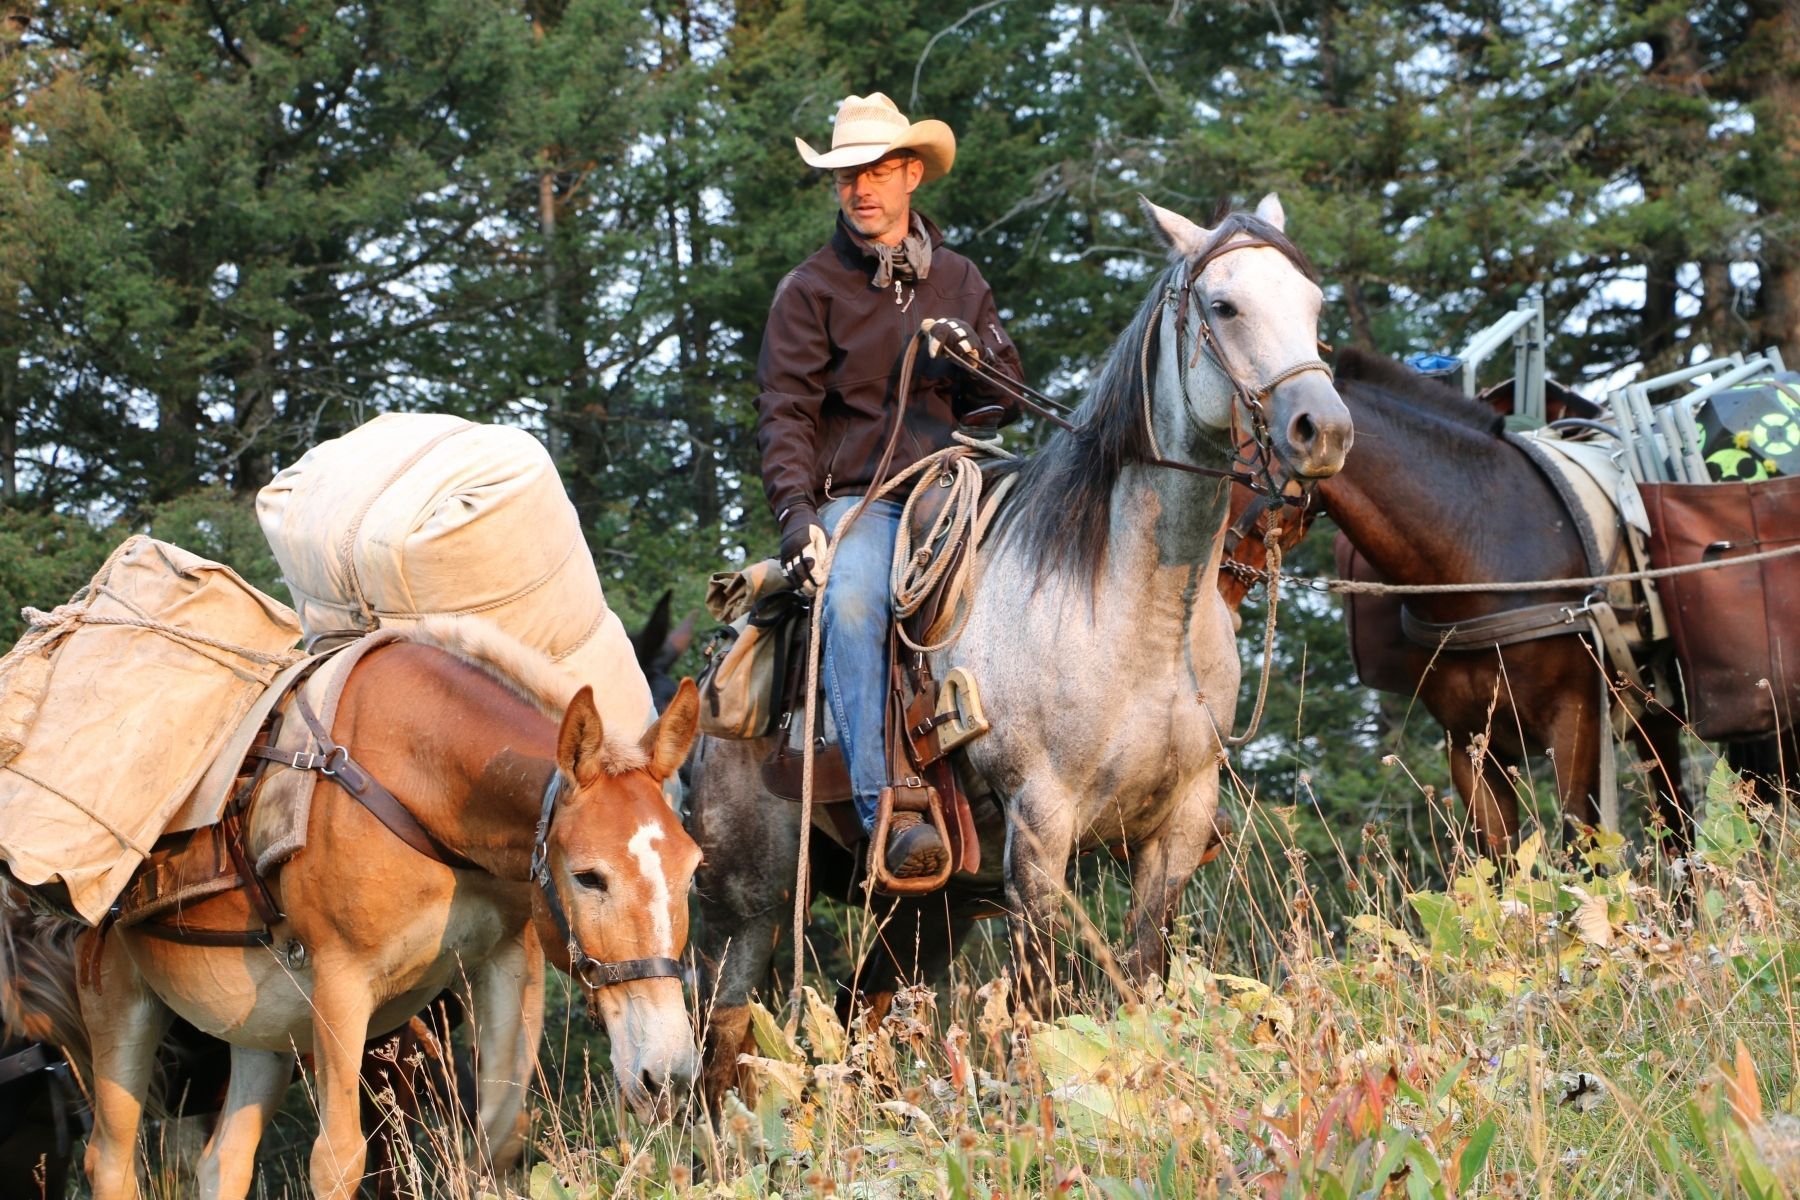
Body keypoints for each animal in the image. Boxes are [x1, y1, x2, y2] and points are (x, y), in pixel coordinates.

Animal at [5, 622, 702, 1200]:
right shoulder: (342, 986)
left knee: (223, 1163)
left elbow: (500, 1138)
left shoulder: (507, 963)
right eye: (589, 876)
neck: (419, 781)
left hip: (265, 1032)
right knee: (110, 1163)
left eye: (693, 868)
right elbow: (338, 1163)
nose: (667, 1076)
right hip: (122, 1009)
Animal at [687, 195, 1353, 1103]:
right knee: (713, 1054)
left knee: (860, 1010)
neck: (1131, 610)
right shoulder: (1041, 826)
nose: (1325, 430)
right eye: (1224, 306)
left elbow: (1142, 977)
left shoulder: (1179, 827)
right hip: (742, 907)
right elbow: (1039, 1004)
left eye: (1313, 307)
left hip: (929, 909)